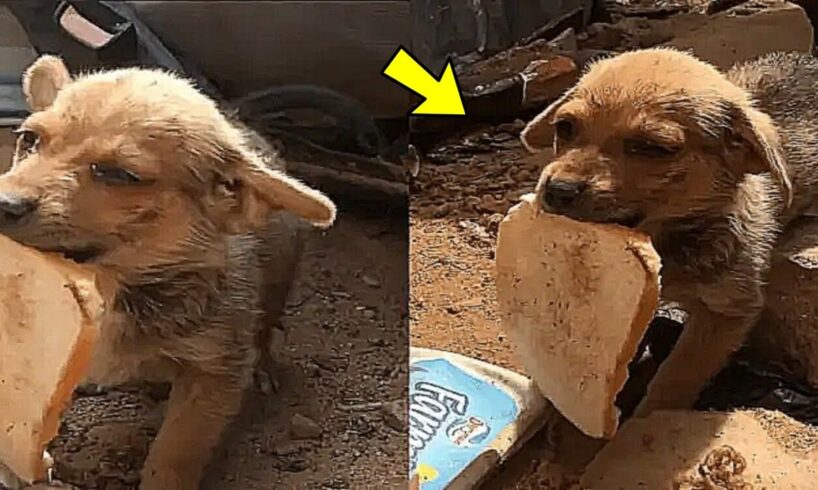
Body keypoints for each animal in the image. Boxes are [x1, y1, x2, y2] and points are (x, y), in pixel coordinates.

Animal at [0, 55, 334, 488]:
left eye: (118, 174)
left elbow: (174, 453)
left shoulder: (212, 375)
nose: (3, 203)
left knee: (265, 328)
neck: (118, 288)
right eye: (29, 139)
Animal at [520, 47, 816, 418]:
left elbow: (674, 377)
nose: (558, 190)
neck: (666, 241)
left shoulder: (727, 312)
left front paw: (642, 422)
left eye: (652, 148)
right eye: (565, 127)